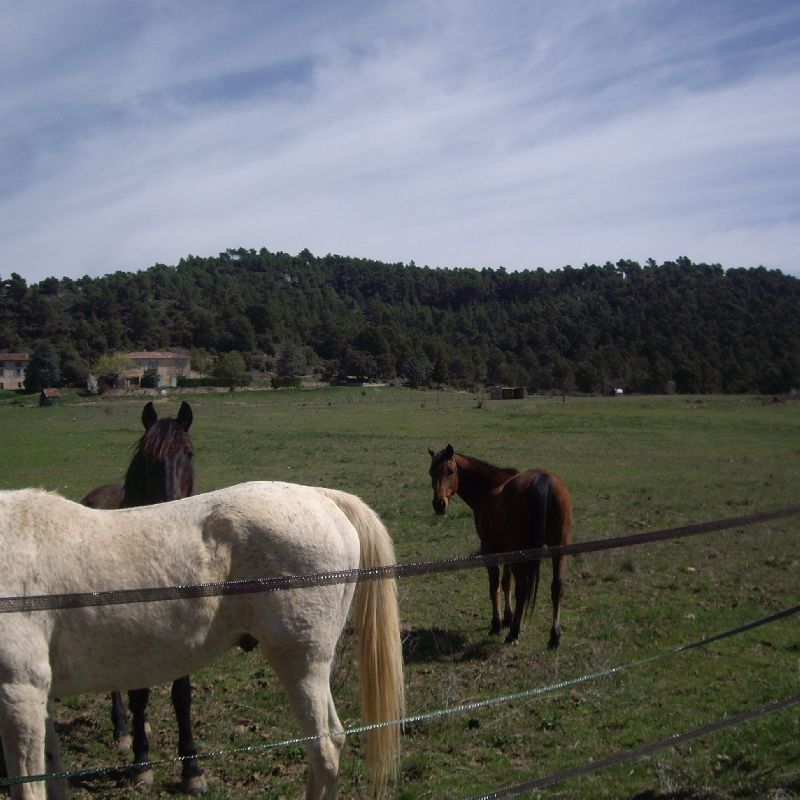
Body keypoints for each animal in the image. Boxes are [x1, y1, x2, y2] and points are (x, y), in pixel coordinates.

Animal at [0, 482, 404, 800]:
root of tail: (321, 497)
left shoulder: (19, 690)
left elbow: (29, 785)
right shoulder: (37, 694)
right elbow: (50, 775)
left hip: (301, 664)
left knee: (325, 747)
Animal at [80, 400, 206, 792]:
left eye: (189, 453)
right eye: (149, 458)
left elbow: (182, 695)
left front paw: (192, 767)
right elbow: (139, 694)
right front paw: (141, 761)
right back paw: (122, 729)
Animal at [428, 446, 572, 648]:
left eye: (450, 471)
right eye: (431, 472)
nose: (439, 504)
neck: (489, 487)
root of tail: (543, 479)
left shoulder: (490, 550)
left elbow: (494, 586)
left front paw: (497, 624)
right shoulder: (508, 551)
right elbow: (506, 583)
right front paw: (508, 618)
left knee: (523, 589)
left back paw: (513, 634)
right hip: (559, 549)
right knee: (557, 587)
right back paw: (554, 636)